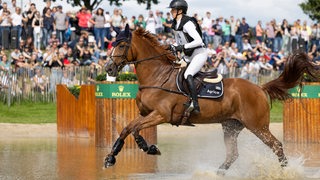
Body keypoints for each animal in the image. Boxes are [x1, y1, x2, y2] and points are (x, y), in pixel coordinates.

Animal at [104, 24, 318, 174]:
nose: (108, 68)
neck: (157, 76)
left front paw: (148, 148)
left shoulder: (161, 115)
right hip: (231, 126)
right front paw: (111, 158)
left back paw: (286, 171)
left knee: (277, 146)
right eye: (111, 44)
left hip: (257, 126)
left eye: (121, 45)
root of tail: (259, 87)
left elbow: (135, 128)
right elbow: (128, 128)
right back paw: (216, 173)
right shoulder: (146, 114)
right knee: (233, 154)